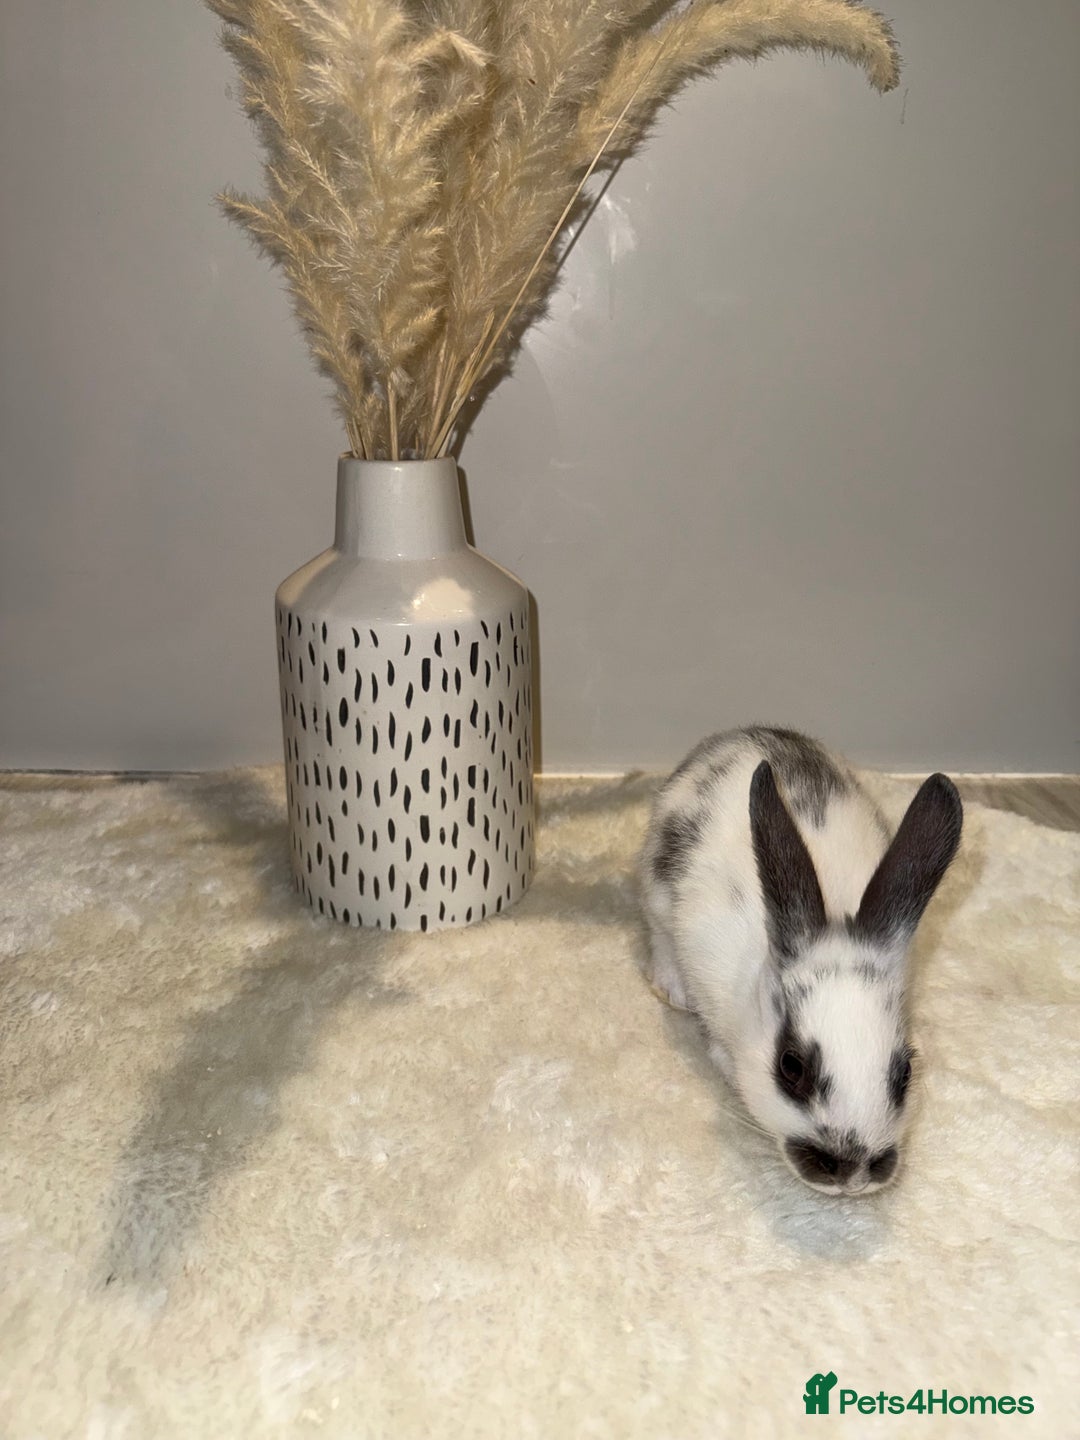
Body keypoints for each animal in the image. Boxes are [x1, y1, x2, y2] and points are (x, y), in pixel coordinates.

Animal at [640, 725, 963, 1196]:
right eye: (791, 1067)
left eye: (904, 1073)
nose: (852, 1175)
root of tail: (737, 734)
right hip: (657, 890)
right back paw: (672, 990)